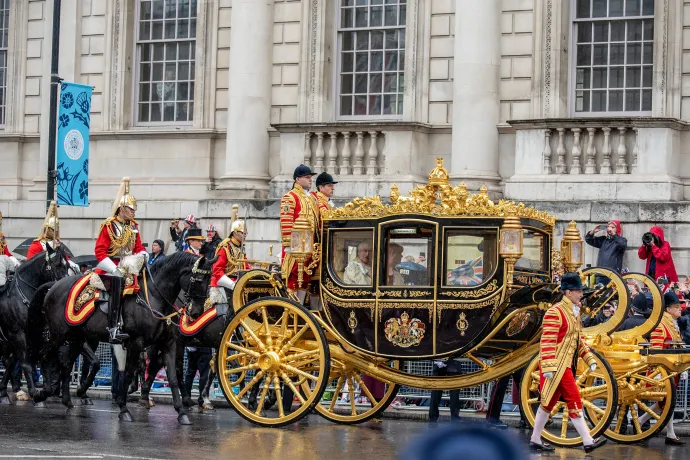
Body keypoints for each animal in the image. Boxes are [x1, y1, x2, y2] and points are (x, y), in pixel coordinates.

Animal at [0, 244, 70, 402]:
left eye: (67, 265)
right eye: (56, 265)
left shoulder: (41, 335)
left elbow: (43, 362)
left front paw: (45, 391)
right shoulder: (18, 335)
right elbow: (26, 364)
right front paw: (34, 392)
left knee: (8, 362)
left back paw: (7, 391)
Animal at [31, 252, 212, 424]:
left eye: (209, 281)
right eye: (198, 280)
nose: (196, 312)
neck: (154, 297)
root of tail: (54, 285)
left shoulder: (169, 344)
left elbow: (173, 377)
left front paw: (181, 412)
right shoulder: (136, 343)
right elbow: (128, 374)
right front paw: (123, 408)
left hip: (76, 338)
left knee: (66, 364)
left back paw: (68, 401)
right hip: (58, 335)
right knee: (44, 356)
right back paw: (42, 393)